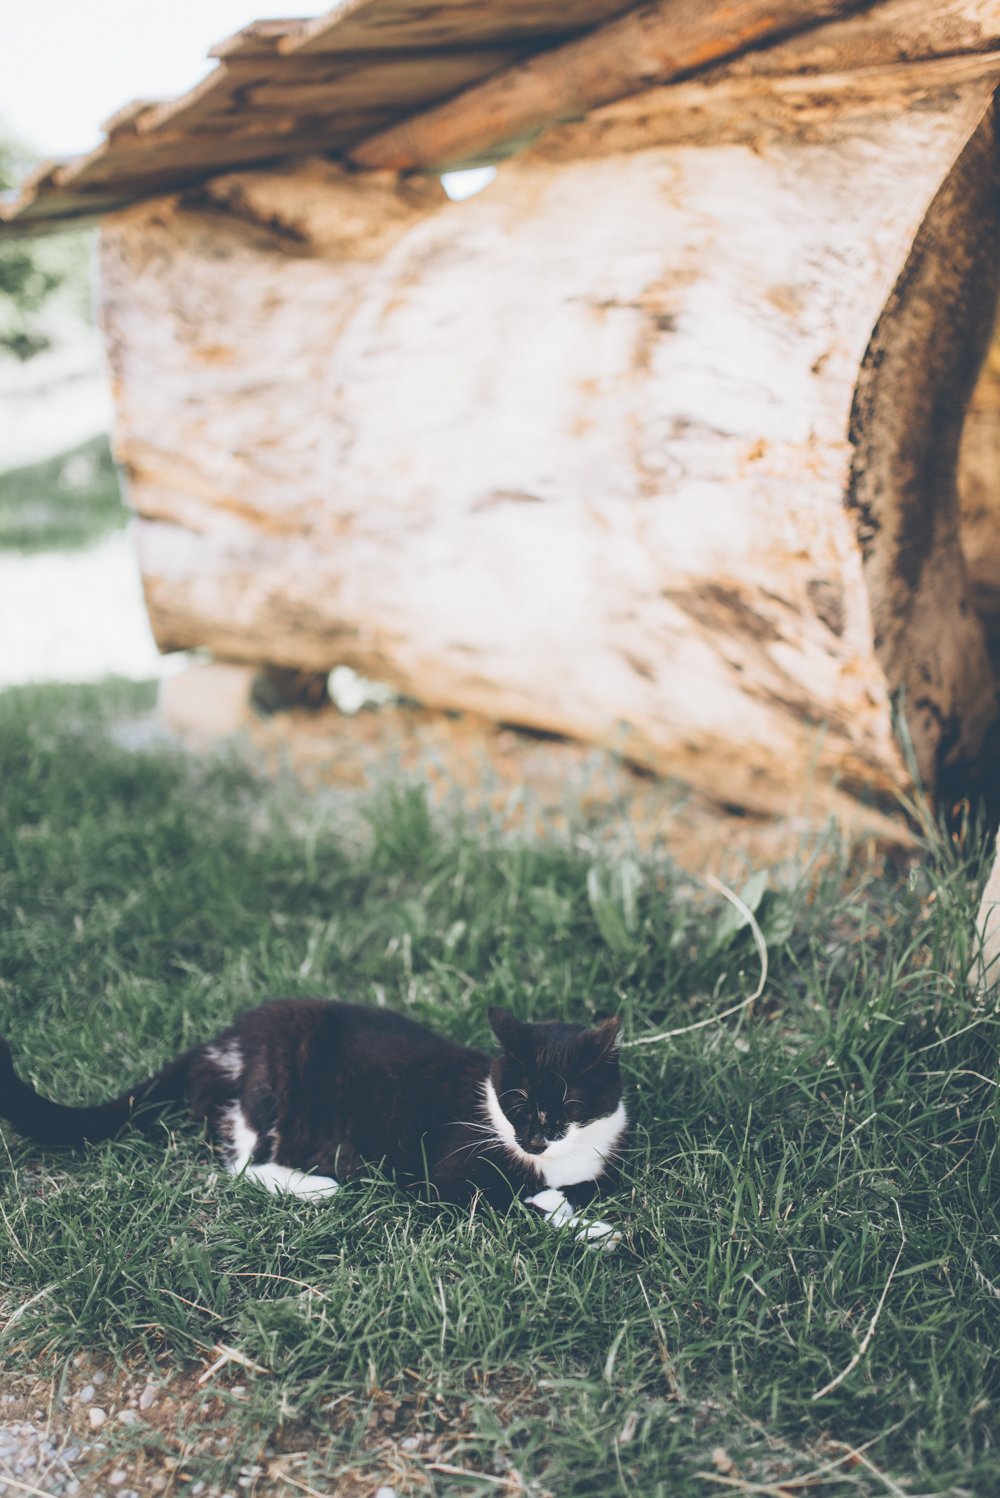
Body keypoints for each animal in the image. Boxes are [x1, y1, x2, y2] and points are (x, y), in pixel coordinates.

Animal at [0, 1006, 625, 1240]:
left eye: (569, 1103)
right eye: (516, 1098)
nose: (533, 1138)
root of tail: (220, 1041)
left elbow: (570, 1189)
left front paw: (581, 1212)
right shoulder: (449, 1172)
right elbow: (508, 1200)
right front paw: (595, 1231)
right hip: (269, 1090)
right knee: (239, 1166)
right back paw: (316, 1187)